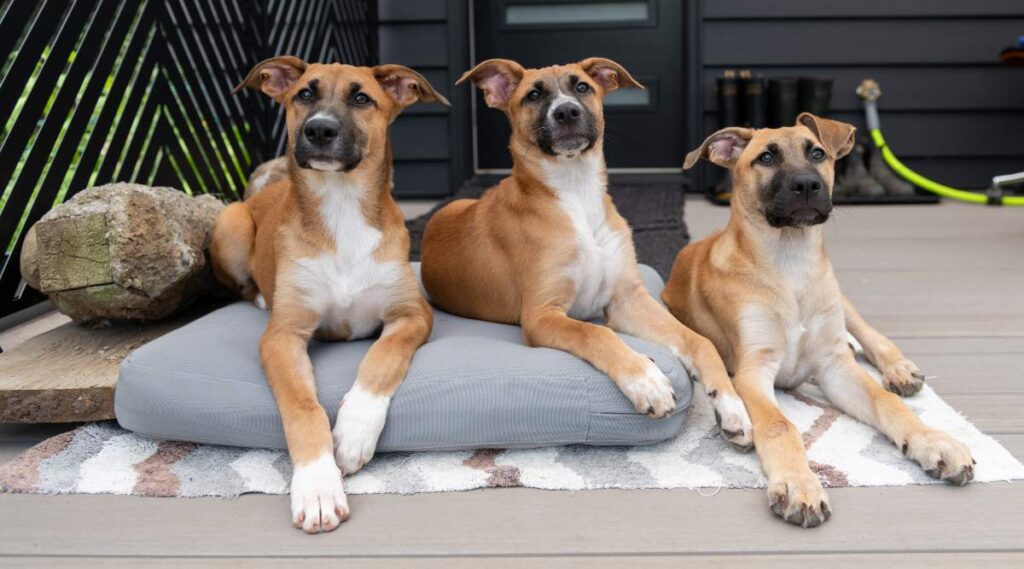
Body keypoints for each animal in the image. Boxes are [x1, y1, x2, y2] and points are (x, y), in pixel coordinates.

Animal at [208, 55, 448, 532]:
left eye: (362, 98)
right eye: (304, 93)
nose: (319, 130)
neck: (342, 209)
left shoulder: (412, 314)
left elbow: (381, 359)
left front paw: (354, 431)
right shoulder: (282, 336)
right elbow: (302, 406)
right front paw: (317, 485)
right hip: (231, 220)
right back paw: (260, 296)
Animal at [417, 58, 753, 448]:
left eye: (582, 88)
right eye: (533, 95)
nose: (566, 112)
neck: (575, 190)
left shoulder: (627, 300)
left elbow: (698, 340)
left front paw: (731, 404)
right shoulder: (541, 316)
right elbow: (596, 334)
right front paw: (646, 379)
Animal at [663, 113, 974, 528]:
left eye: (817, 153)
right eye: (765, 158)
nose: (807, 185)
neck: (790, 265)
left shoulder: (834, 366)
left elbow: (886, 402)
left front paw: (933, 441)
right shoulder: (752, 373)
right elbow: (780, 425)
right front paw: (798, 484)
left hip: (839, 297)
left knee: (870, 335)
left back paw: (899, 369)